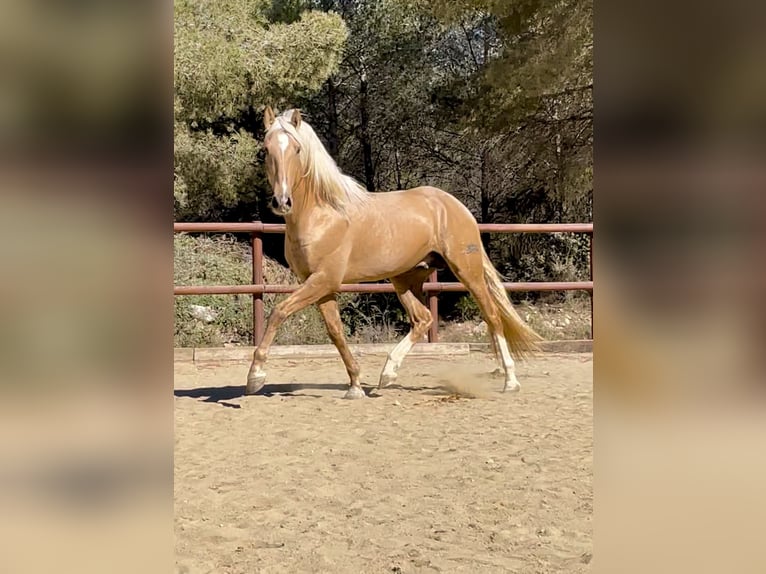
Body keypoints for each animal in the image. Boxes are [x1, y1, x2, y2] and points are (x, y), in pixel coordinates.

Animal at [249, 109, 544, 400]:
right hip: (405, 278)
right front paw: (355, 385)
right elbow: (335, 331)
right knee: (423, 318)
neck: (323, 214)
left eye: (297, 149)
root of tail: (455, 206)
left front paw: (255, 376)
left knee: (492, 315)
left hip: (466, 270)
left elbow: (278, 311)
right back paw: (387, 374)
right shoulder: (320, 285)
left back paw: (510, 381)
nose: (282, 202)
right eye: (265, 149)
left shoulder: (324, 279)